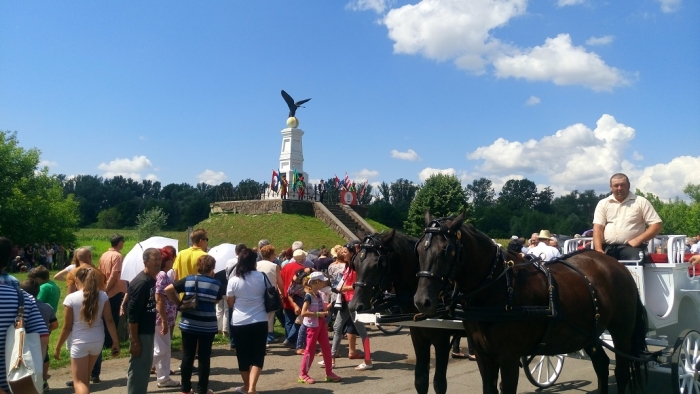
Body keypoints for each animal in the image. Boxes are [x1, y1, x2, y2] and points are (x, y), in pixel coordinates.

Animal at [348, 228, 468, 394]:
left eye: (380, 263)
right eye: (355, 263)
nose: (354, 305)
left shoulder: (442, 340)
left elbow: (439, 383)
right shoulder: (418, 335)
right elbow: (421, 380)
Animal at [412, 212, 648, 394]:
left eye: (447, 250)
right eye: (419, 249)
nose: (422, 301)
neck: (498, 287)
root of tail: (617, 265)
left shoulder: (508, 357)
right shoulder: (483, 355)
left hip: (622, 331)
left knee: (622, 372)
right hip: (590, 332)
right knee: (601, 365)